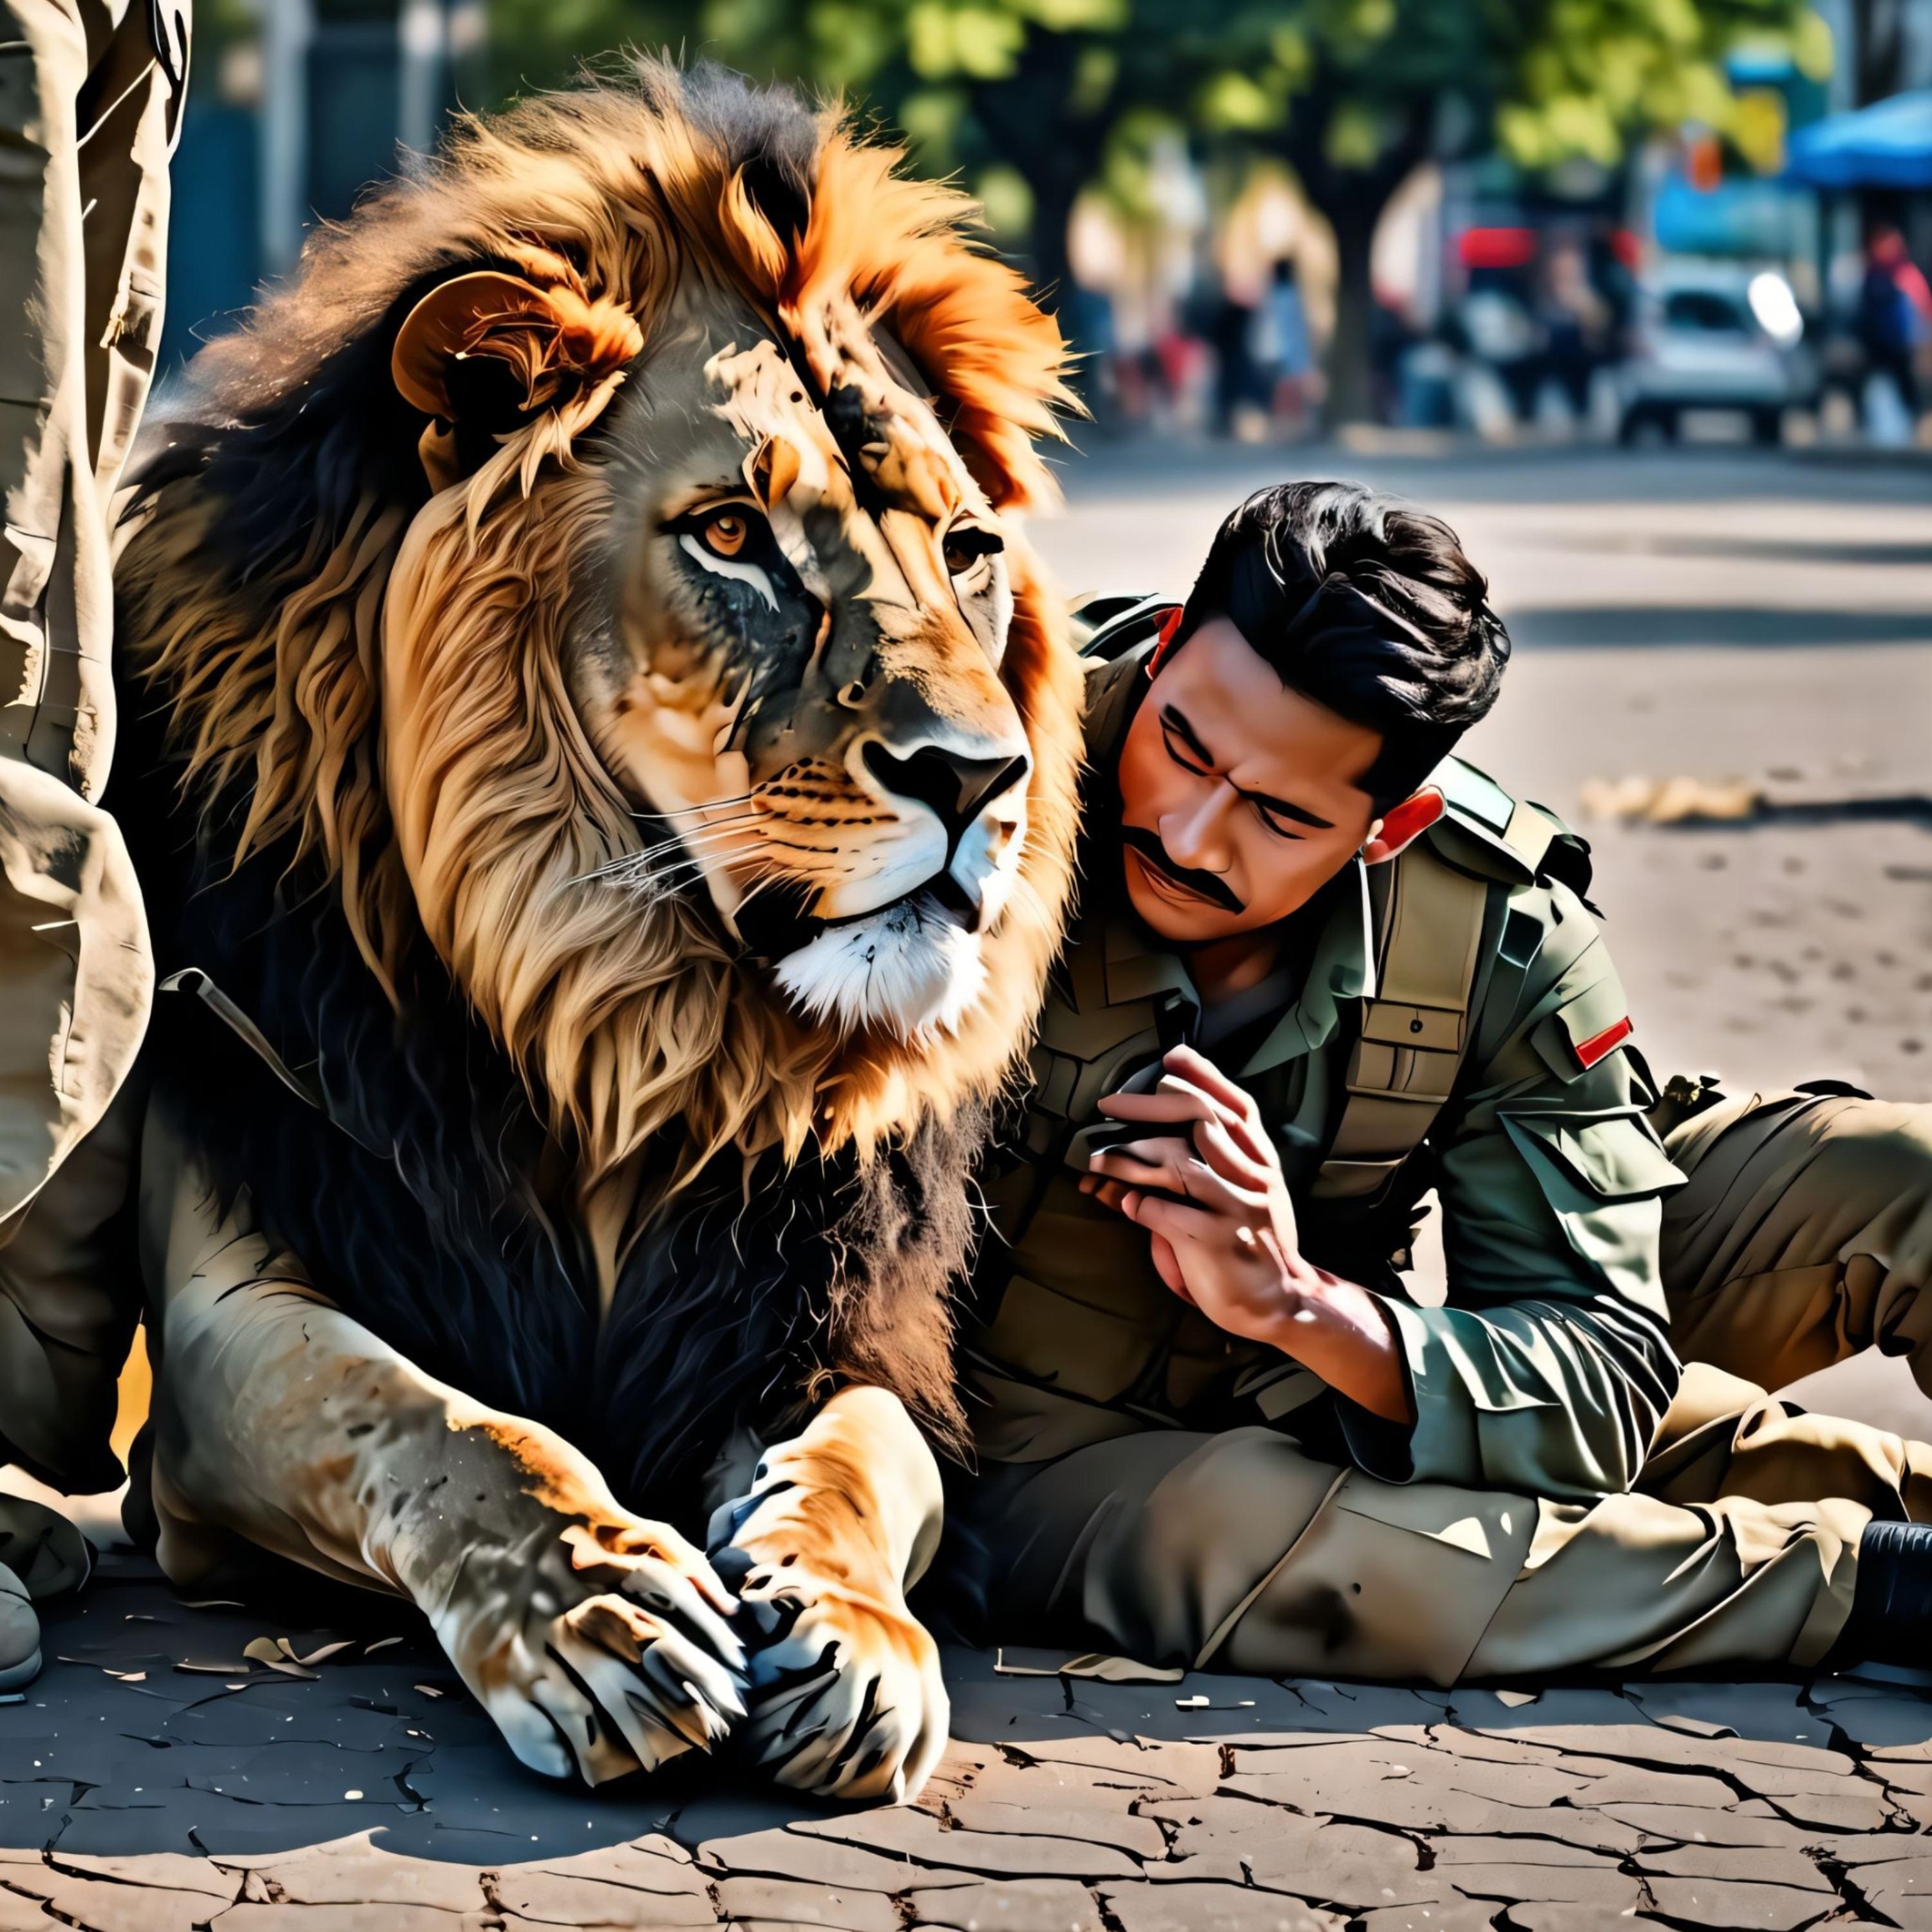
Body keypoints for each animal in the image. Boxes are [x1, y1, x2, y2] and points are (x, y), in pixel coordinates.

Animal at [109, 59, 1082, 1804]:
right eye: (731, 537)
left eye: (965, 551)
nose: (982, 777)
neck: (610, 1009)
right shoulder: (228, 1325)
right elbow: (440, 1423)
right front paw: (596, 1611)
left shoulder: (839, 1315)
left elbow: (853, 1462)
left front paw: (850, 1635)